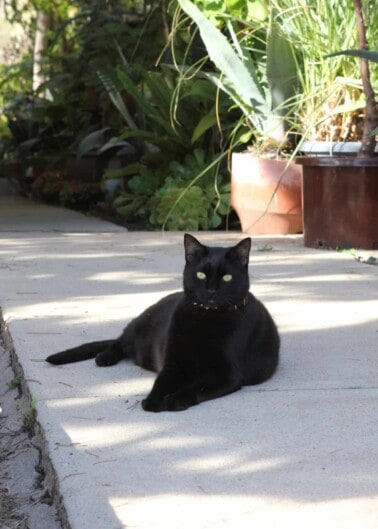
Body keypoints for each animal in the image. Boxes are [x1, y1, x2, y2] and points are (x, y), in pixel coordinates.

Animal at [45, 235, 280, 412]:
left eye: (227, 278)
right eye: (200, 274)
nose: (212, 291)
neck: (206, 318)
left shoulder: (227, 374)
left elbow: (197, 387)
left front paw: (175, 399)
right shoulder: (173, 362)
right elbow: (162, 382)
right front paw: (153, 401)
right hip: (140, 329)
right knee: (120, 340)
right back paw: (105, 357)